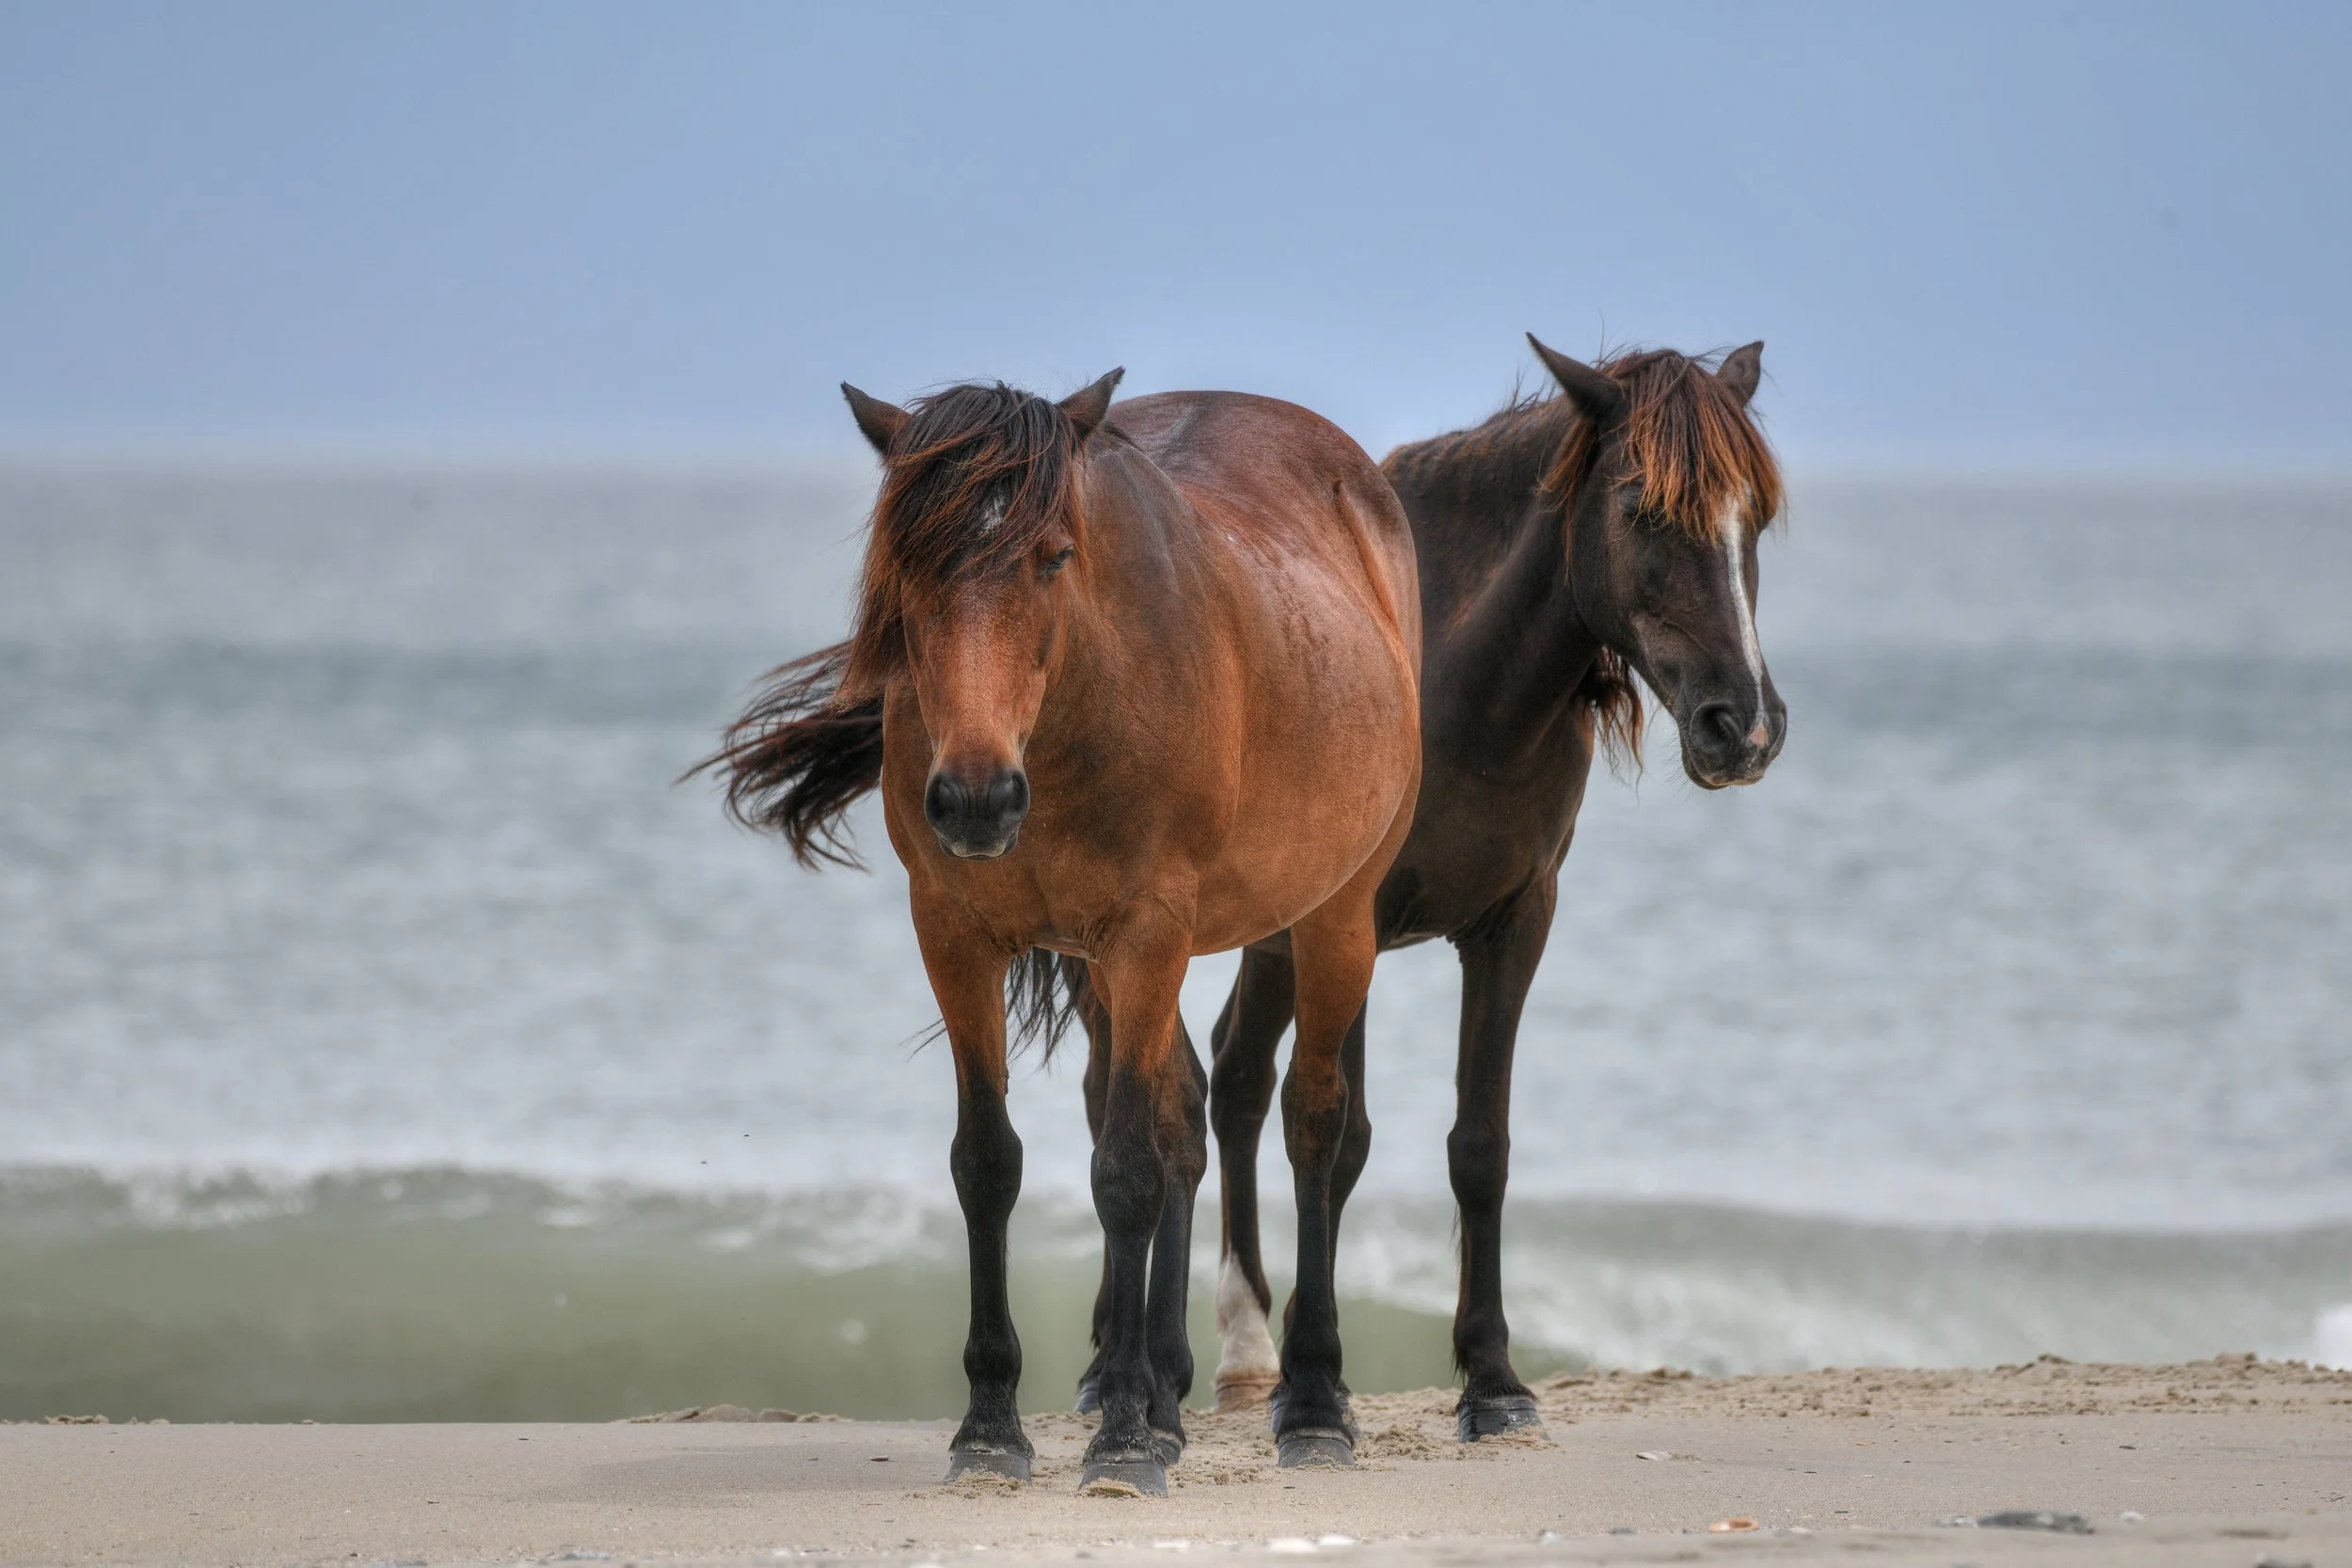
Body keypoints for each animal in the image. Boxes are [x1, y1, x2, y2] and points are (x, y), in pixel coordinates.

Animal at [698, 371, 1422, 1492]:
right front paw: (994, 1425)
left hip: (1331, 916)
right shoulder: (954, 935)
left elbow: (1124, 1169)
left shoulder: (1148, 930)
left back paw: (1308, 1404)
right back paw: (1162, 1388)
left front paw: (1121, 1440)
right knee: (1183, 1116)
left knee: (1312, 1126)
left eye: (1052, 555)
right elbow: (990, 1161)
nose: (975, 797)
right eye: (908, 560)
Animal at [1071, 336, 1787, 1441]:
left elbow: (1476, 1143)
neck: (1457, 680)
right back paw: (1146, 1358)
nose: (1741, 726)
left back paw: (1223, 1352)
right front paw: (1313, 1388)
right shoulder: (1345, 920)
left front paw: (1491, 1380)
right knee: (1152, 1089)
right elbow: (1334, 1134)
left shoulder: (1515, 920)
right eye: (1639, 507)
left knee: (1227, 1076)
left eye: (1755, 513)